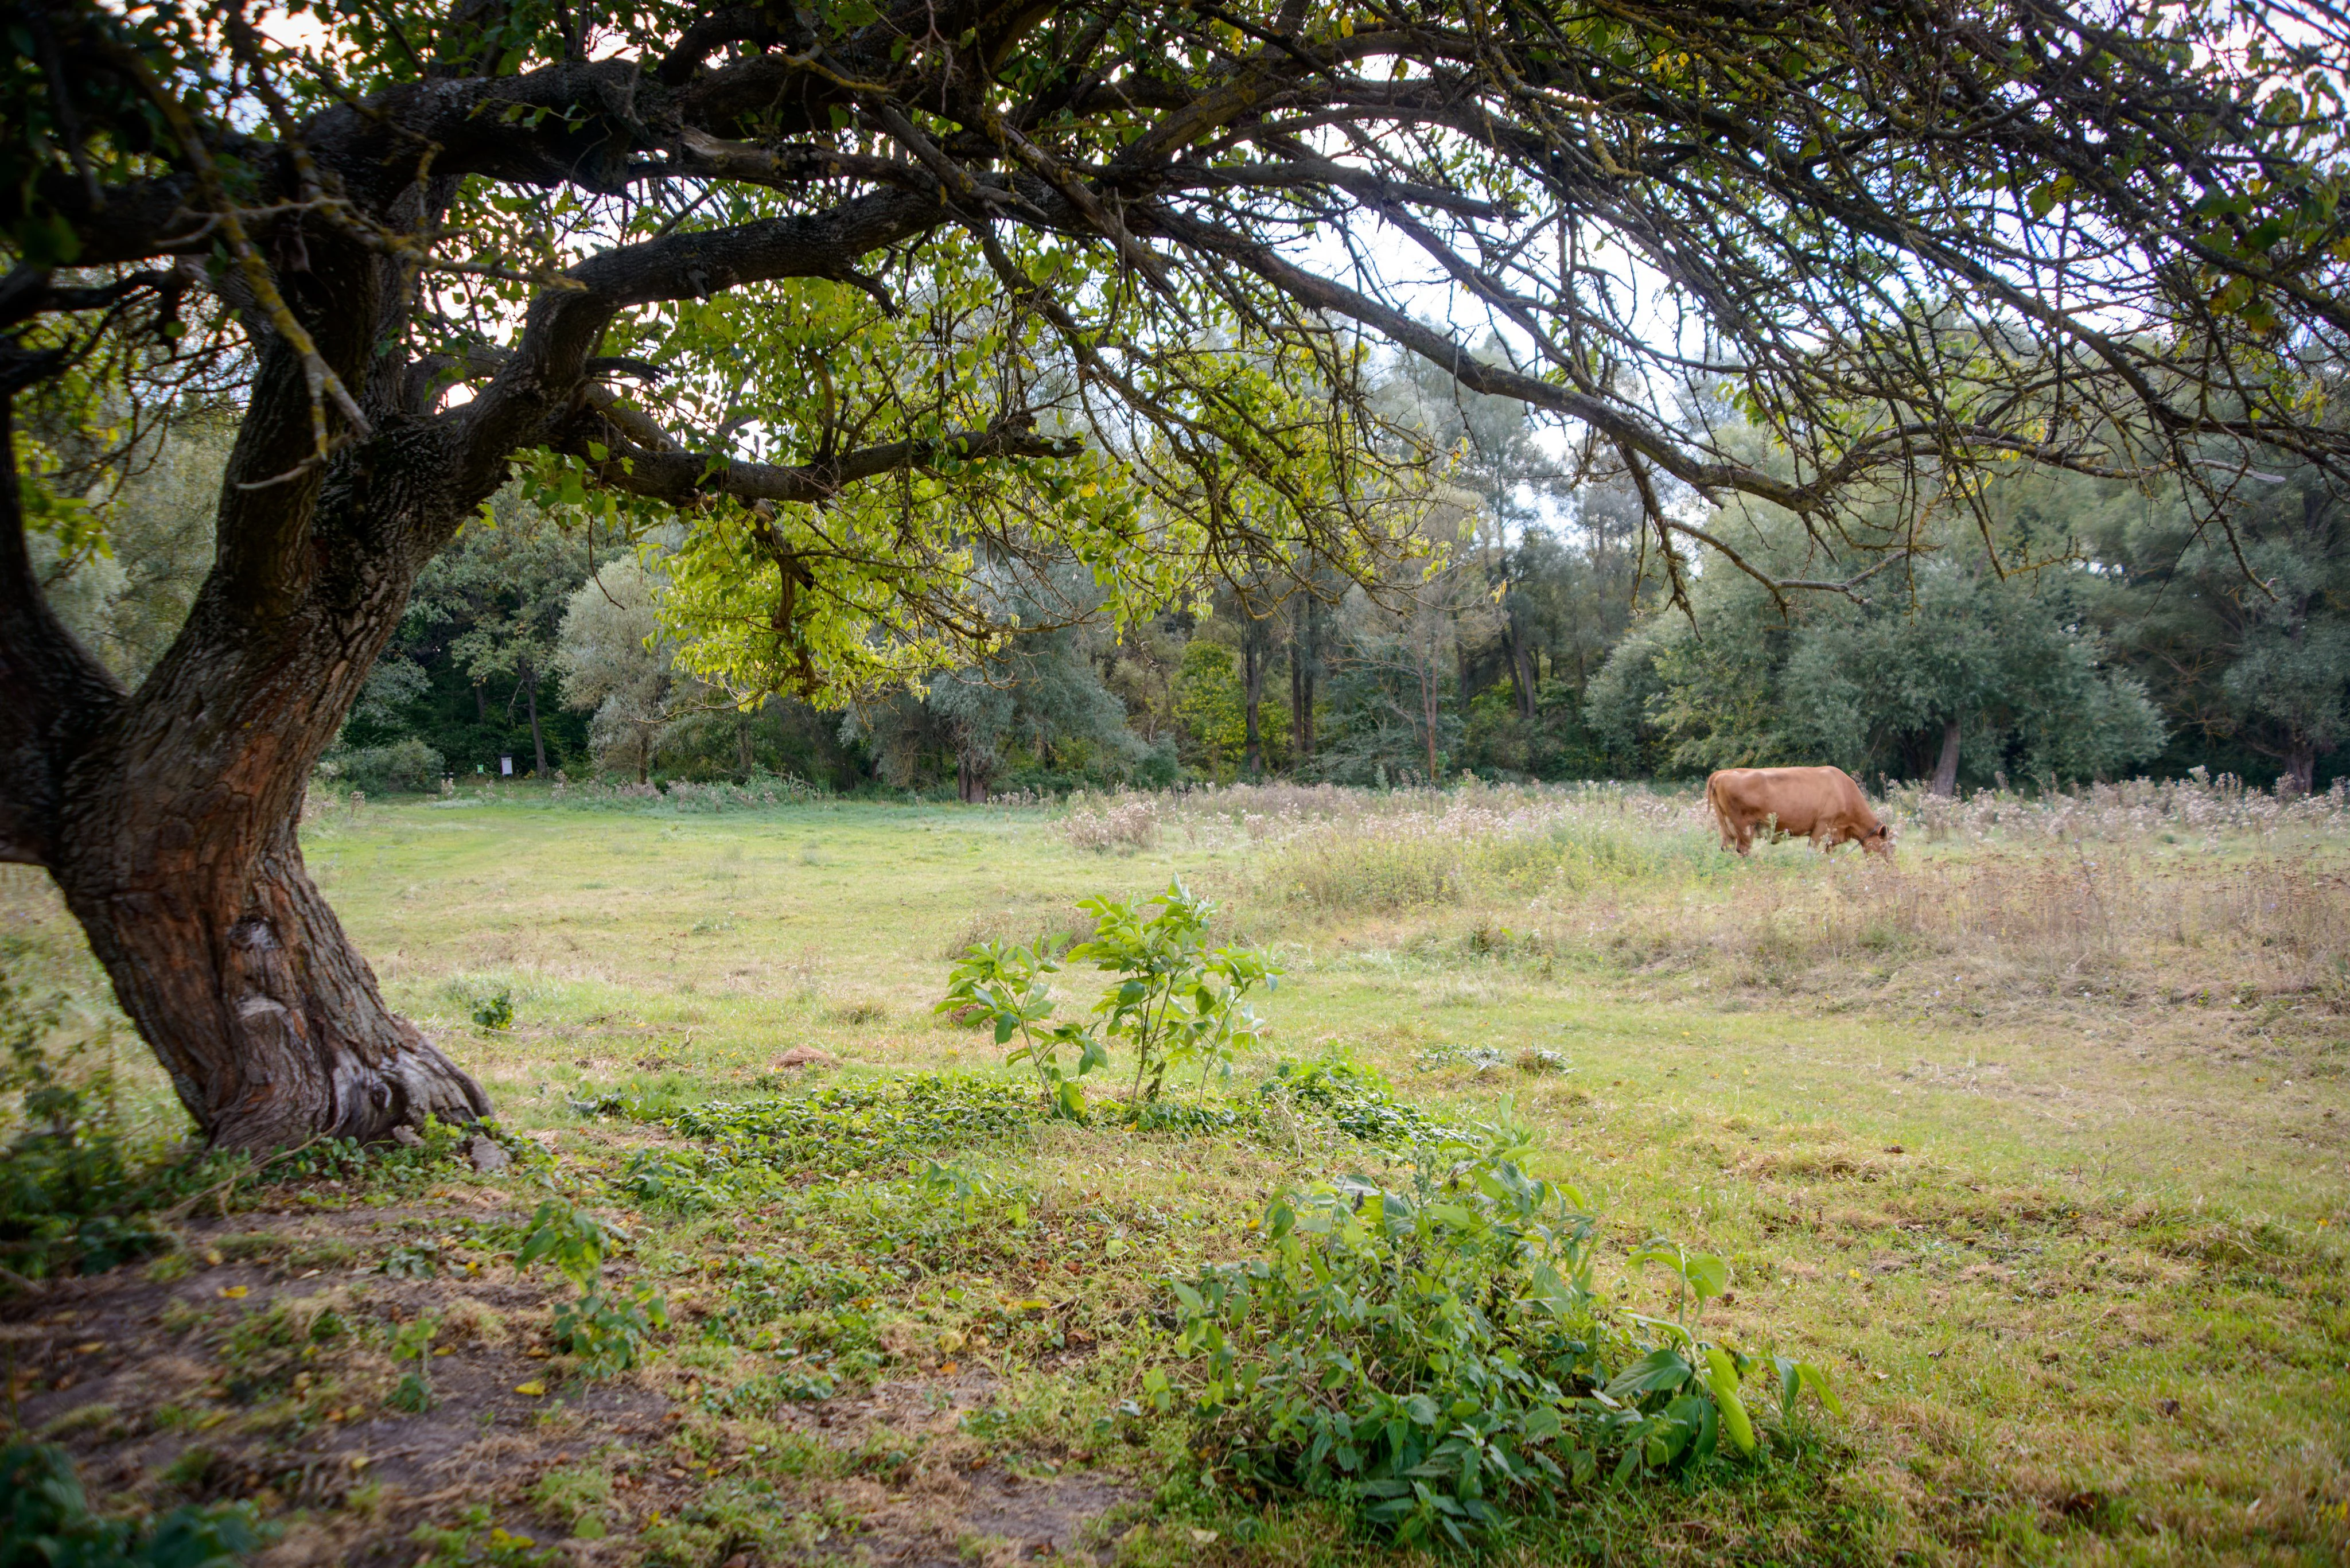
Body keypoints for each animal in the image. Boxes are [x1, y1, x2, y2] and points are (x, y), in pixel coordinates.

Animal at [1705, 766, 1893, 858]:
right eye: (1889, 845)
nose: (1889, 864)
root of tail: (1722, 773)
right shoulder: (1822, 826)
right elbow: (1812, 852)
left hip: (1727, 827)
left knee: (1727, 848)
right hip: (1745, 828)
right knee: (1743, 850)